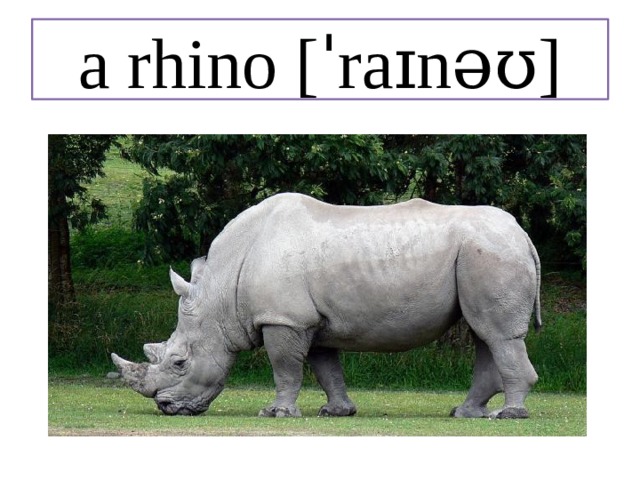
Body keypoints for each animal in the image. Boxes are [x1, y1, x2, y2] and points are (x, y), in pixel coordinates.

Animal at [112, 192, 541, 419]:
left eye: (179, 362)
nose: (166, 407)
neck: (220, 292)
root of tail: (522, 233)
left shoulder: (283, 319)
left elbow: (284, 368)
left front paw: (276, 413)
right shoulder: (310, 321)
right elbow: (325, 368)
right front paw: (337, 412)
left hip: (491, 253)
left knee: (497, 335)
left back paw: (509, 415)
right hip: (485, 253)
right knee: (485, 334)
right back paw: (464, 414)